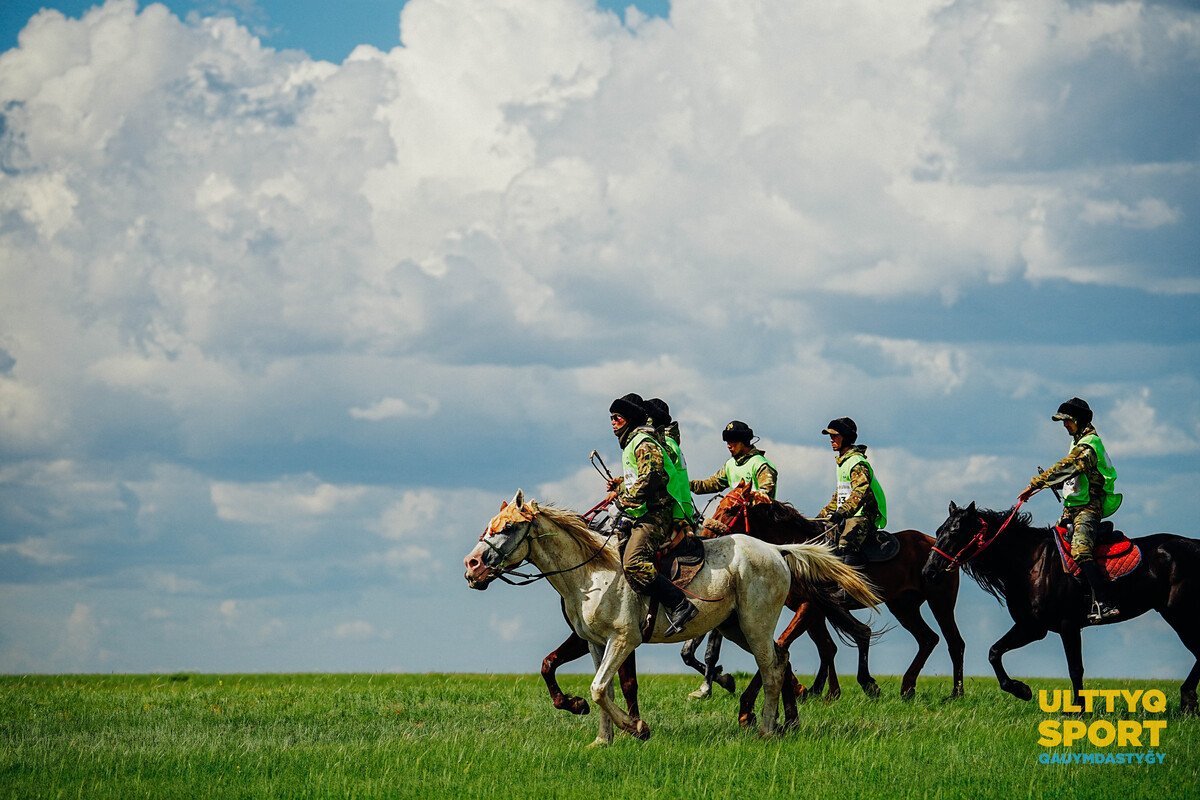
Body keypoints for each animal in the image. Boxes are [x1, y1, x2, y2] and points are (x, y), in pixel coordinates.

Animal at [460, 491, 883, 748]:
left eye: (509, 527)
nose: (472, 565)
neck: (591, 574)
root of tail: (777, 550)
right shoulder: (596, 644)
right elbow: (600, 688)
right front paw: (603, 739)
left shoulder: (623, 640)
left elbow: (600, 689)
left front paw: (636, 728)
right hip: (736, 628)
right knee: (781, 659)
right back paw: (784, 724)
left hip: (755, 624)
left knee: (773, 668)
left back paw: (764, 727)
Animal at [705, 482, 960, 700]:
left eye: (731, 509)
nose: (706, 536)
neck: (795, 550)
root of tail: (934, 544)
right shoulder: (815, 611)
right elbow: (827, 647)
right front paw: (823, 691)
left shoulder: (811, 607)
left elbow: (788, 643)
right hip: (903, 607)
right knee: (928, 639)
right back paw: (907, 687)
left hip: (940, 601)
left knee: (954, 641)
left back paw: (955, 693)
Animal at [921, 501, 1195, 714]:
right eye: (939, 530)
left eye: (956, 531)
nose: (928, 571)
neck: (1030, 562)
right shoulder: (1032, 627)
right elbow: (994, 652)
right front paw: (1022, 690)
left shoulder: (1066, 625)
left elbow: (1075, 668)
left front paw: (1078, 710)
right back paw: (1188, 703)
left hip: (1180, 615)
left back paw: (1187, 700)